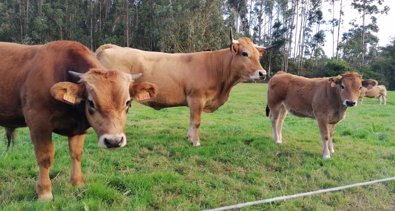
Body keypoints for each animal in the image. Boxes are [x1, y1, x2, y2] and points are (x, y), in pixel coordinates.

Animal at [0, 40, 158, 199]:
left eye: (128, 102)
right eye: (91, 102)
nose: (114, 141)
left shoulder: (78, 129)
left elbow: (76, 153)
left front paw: (77, 183)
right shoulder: (38, 122)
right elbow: (45, 157)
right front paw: (44, 192)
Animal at [95, 32, 270, 146]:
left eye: (258, 55)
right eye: (245, 53)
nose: (263, 73)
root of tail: (113, 47)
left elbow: (191, 121)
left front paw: (189, 138)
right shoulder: (197, 98)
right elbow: (196, 121)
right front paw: (195, 142)